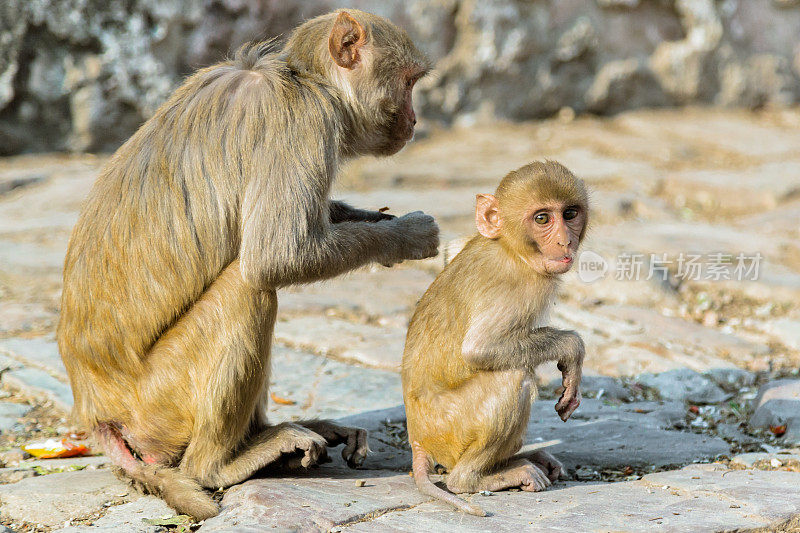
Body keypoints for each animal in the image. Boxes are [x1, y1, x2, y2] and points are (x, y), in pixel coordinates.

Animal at [57, 10, 438, 520]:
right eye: (409, 82)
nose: (416, 120)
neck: (306, 80)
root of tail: (99, 415)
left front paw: (378, 219)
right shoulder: (302, 122)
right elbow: (278, 254)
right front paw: (407, 237)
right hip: (157, 406)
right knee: (248, 287)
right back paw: (219, 464)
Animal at [404, 160, 584, 512]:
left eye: (570, 213)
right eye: (542, 218)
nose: (565, 242)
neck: (511, 247)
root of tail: (417, 440)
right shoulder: (516, 288)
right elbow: (480, 350)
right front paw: (572, 350)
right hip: (450, 430)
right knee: (513, 377)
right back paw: (474, 479)